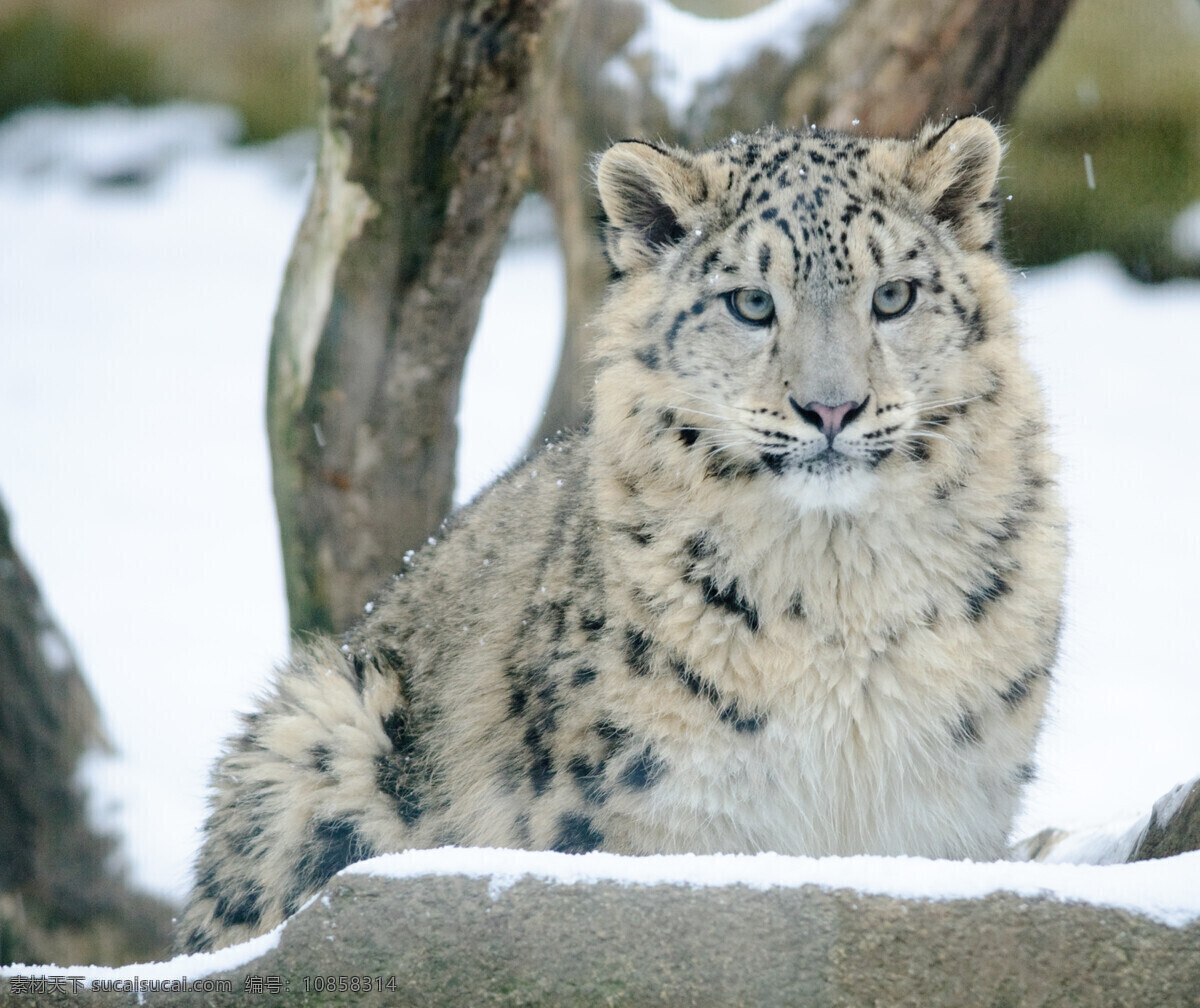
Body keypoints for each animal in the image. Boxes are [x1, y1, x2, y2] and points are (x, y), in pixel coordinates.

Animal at [175, 118, 1060, 955]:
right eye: (750, 303)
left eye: (894, 296)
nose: (832, 407)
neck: (840, 593)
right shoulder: (652, 811)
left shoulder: (946, 807)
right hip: (316, 732)